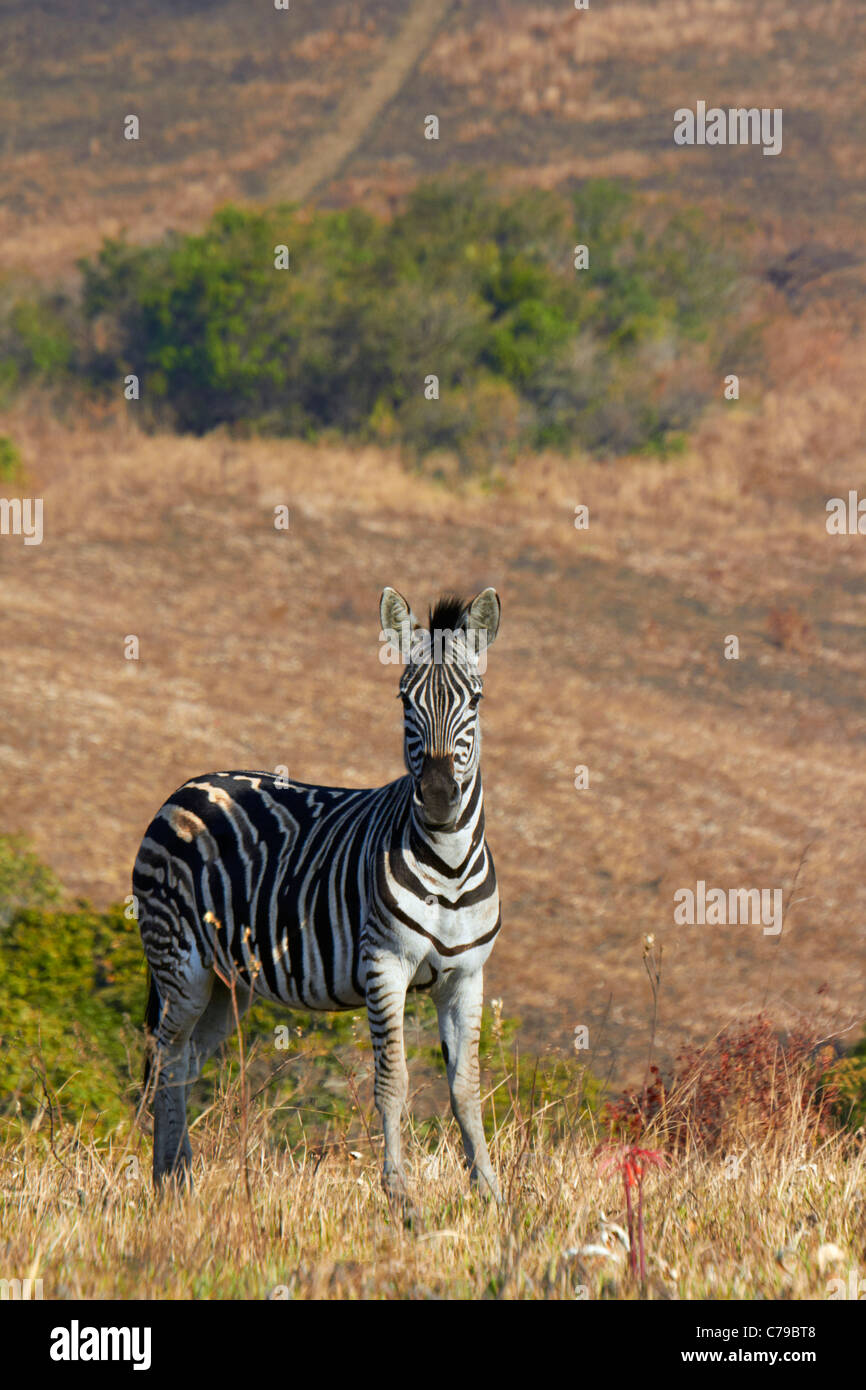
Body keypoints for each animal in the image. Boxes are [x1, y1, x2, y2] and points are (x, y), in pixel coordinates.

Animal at [134, 586, 500, 1206]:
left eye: (474, 700)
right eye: (404, 701)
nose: (437, 797)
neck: (448, 864)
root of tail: (186, 787)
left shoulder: (466, 976)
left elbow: (466, 1089)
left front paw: (493, 1196)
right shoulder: (384, 964)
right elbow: (393, 1082)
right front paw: (402, 1199)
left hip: (226, 984)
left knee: (184, 1061)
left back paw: (180, 1181)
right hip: (180, 967)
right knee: (165, 1056)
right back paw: (168, 1187)